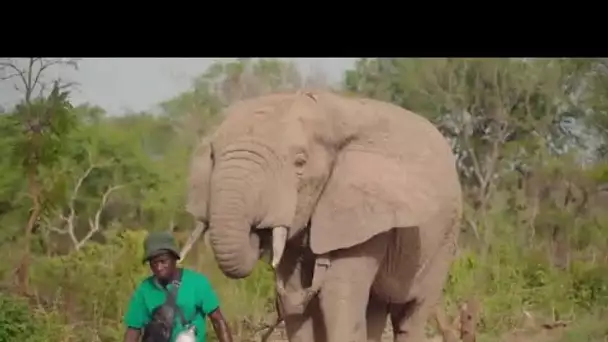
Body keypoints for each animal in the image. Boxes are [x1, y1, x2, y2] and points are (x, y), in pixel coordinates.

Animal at [185, 90, 460, 342]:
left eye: (300, 163)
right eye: (212, 156)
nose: (258, 231)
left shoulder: (363, 218)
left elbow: (336, 297)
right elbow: (296, 301)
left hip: (443, 243)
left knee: (411, 312)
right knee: (375, 307)